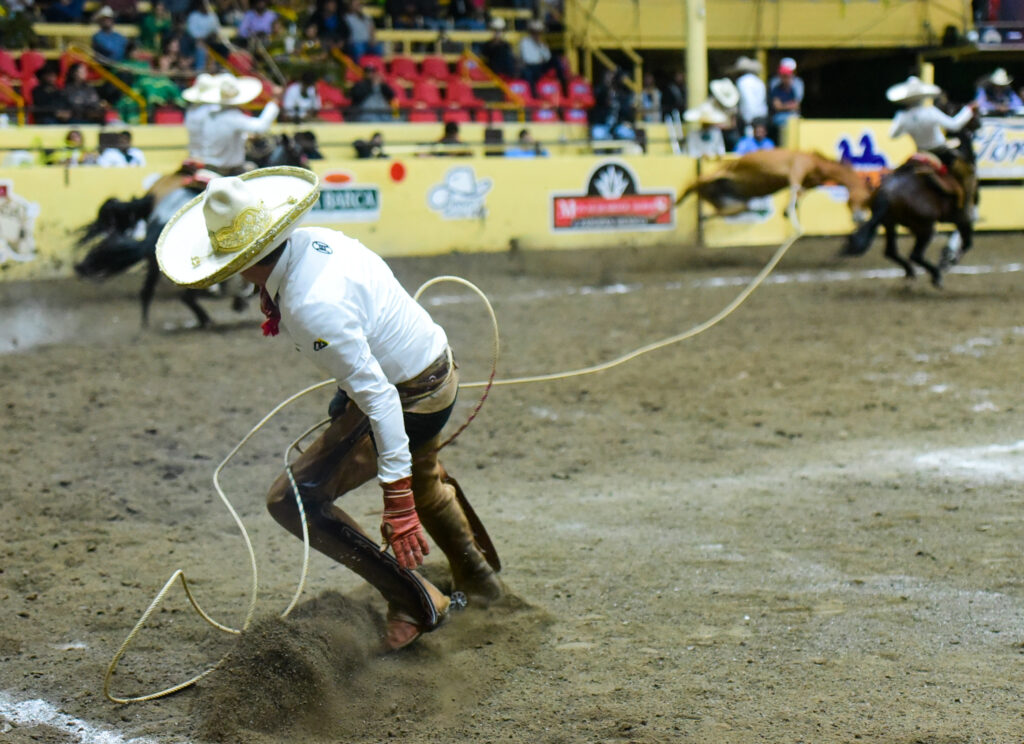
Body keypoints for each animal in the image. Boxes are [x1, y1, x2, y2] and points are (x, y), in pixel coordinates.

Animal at [74, 133, 315, 329]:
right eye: (298, 151)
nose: (311, 164)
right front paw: (239, 299)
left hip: (154, 262)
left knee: (148, 291)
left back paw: (147, 325)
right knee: (182, 297)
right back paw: (202, 319)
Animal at [667, 147, 876, 231]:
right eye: (865, 199)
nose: (860, 219)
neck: (817, 164)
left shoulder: (806, 183)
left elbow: (799, 194)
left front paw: (787, 212)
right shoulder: (797, 169)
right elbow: (794, 190)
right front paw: (791, 213)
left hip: (731, 202)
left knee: (730, 210)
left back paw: (703, 217)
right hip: (714, 175)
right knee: (690, 184)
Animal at [843, 104, 978, 288]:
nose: (980, 122)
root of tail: (887, 190)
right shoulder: (963, 217)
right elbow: (967, 243)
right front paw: (947, 261)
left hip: (890, 223)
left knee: (891, 252)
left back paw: (910, 271)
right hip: (925, 227)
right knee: (915, 255)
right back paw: (936, 275)